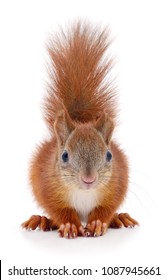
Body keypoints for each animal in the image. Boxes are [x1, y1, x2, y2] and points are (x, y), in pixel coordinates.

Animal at [22, 21, 138, 238]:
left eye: (109, 155)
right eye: (64, 156)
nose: (89, 179)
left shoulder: (117, 183)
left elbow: (106, 208)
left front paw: (99, 222)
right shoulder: (46, 186)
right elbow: (59, 210)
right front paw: (69, 225)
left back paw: (119, 218)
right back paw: (41, 220)